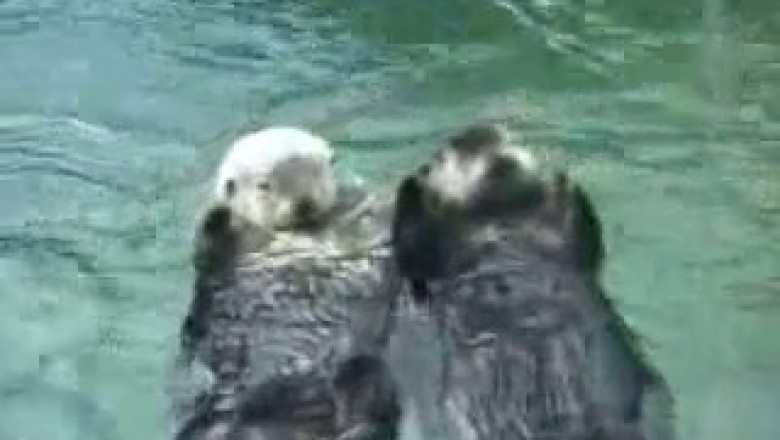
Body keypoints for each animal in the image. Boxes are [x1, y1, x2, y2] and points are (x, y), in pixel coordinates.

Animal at [170, 127, 402, 440]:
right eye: (265, 186)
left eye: (317, 171)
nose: (304, 203)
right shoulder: (227, 254)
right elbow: (206, 254)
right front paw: (216, 216)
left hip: (360, 370)